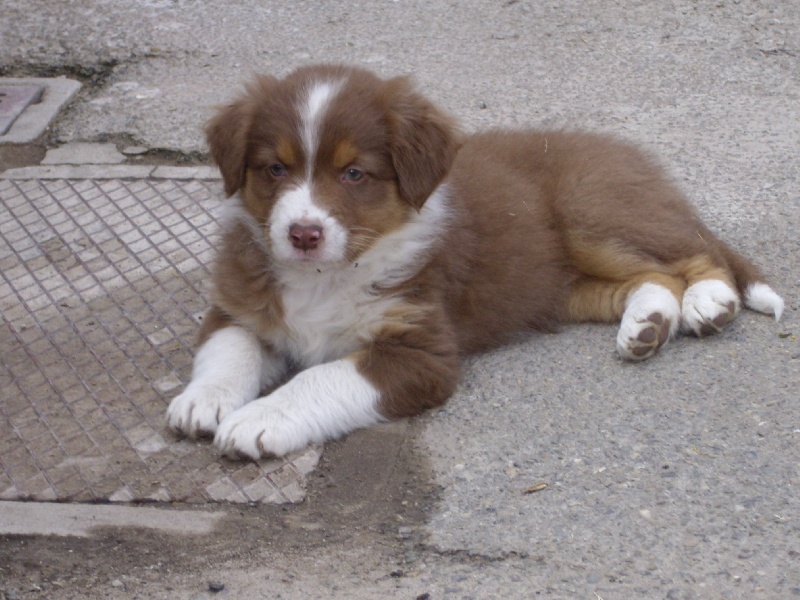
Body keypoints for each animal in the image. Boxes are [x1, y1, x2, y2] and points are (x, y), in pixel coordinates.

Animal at [166, 64, 784, 460]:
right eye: (275, 168)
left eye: (353, 173)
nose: (303, 234)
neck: (327, 276)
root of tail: (634, 158)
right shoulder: (239, 304)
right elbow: (227, 348)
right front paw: (202, 402)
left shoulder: (422, 350)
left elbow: (323, 376)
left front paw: (260, 419)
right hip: (561, 285)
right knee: (650, 277)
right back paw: (650, 323)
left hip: (592, 211)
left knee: (694, 254)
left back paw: (710, 301)